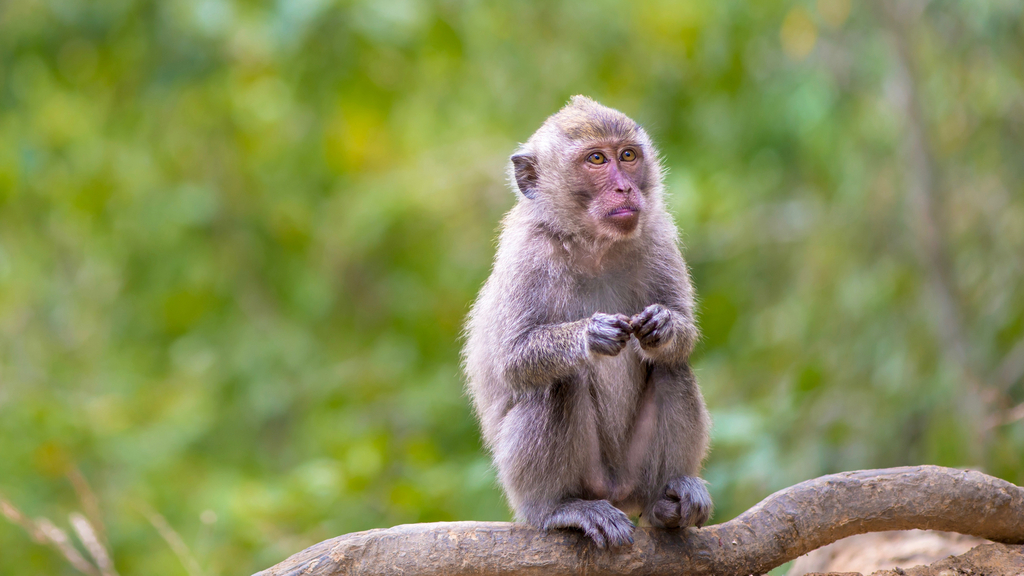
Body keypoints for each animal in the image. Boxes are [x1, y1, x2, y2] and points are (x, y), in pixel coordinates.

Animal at [462, 96, 711, 549]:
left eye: (627, 156)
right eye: (596, 159)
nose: (625, 188)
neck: (592, 244)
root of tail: (616, 490)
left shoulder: (658, 236)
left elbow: (680, 339)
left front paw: (665, 326)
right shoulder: (529, 258)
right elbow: (513, 361)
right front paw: (592, 334)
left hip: (632, 471)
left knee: (671, 368)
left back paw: (668, 498)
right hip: (569, 479)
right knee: (558, 383)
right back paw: (560, 508)